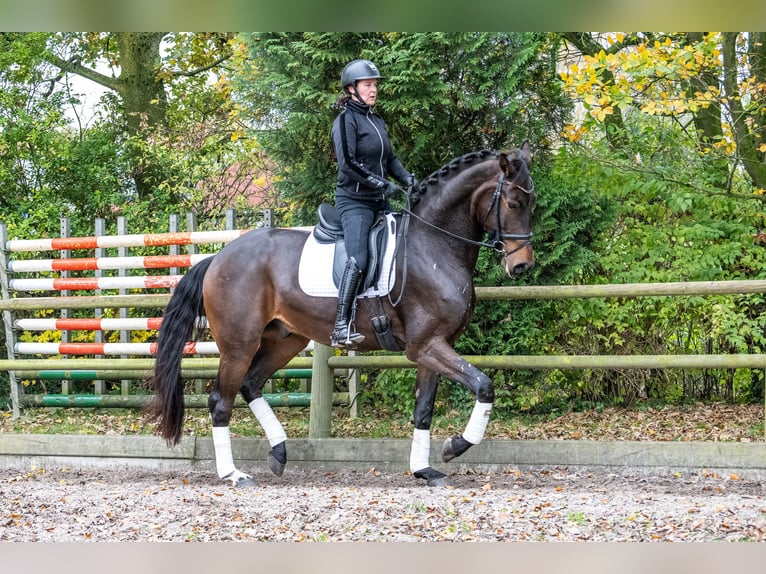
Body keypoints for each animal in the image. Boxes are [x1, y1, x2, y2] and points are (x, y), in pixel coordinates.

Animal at [147, 142, 536, 488]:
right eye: (513, 202)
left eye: (531, 203)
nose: (522, 266)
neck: (432, 246)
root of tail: (218, 257)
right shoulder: (426, 346)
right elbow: (484, 385)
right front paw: (455, 446)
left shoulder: (433, 346)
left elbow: (424, 409)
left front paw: (424, 470)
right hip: (239, 344)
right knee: (220, 401)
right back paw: (233, 474)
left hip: (284, 340)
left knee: (251, 384)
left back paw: (279, 453)